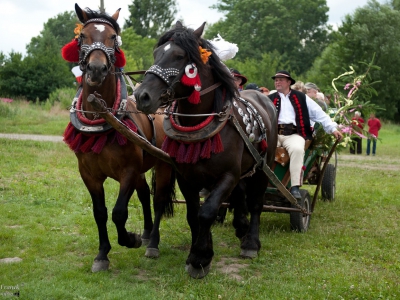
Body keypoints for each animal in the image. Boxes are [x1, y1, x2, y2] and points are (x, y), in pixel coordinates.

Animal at [62, 4, 173, 272]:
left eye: (113, 37)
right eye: (82, 36)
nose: (96, 69)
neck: (103, 116)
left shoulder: (128, 171)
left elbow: (119, 212)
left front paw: (130, 239)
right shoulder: (89, 174)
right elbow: (100, 212)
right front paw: (102, 254)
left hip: (163, 165)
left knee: (159, 199)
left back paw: (153, 242)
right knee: (144, 194)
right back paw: (146, 233)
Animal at [134, 21, 278, 278]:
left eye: (179, 56)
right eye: (156, 53)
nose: (142, 96)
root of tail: (263, 98)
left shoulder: (227, 175)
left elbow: (207, 212)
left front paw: (200, 257)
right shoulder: (186, 177)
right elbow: (194, 215)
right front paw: (198, 252)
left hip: (264, 165)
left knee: (256, 203)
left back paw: (250, 242)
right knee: (240, 194)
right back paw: (240, 226)